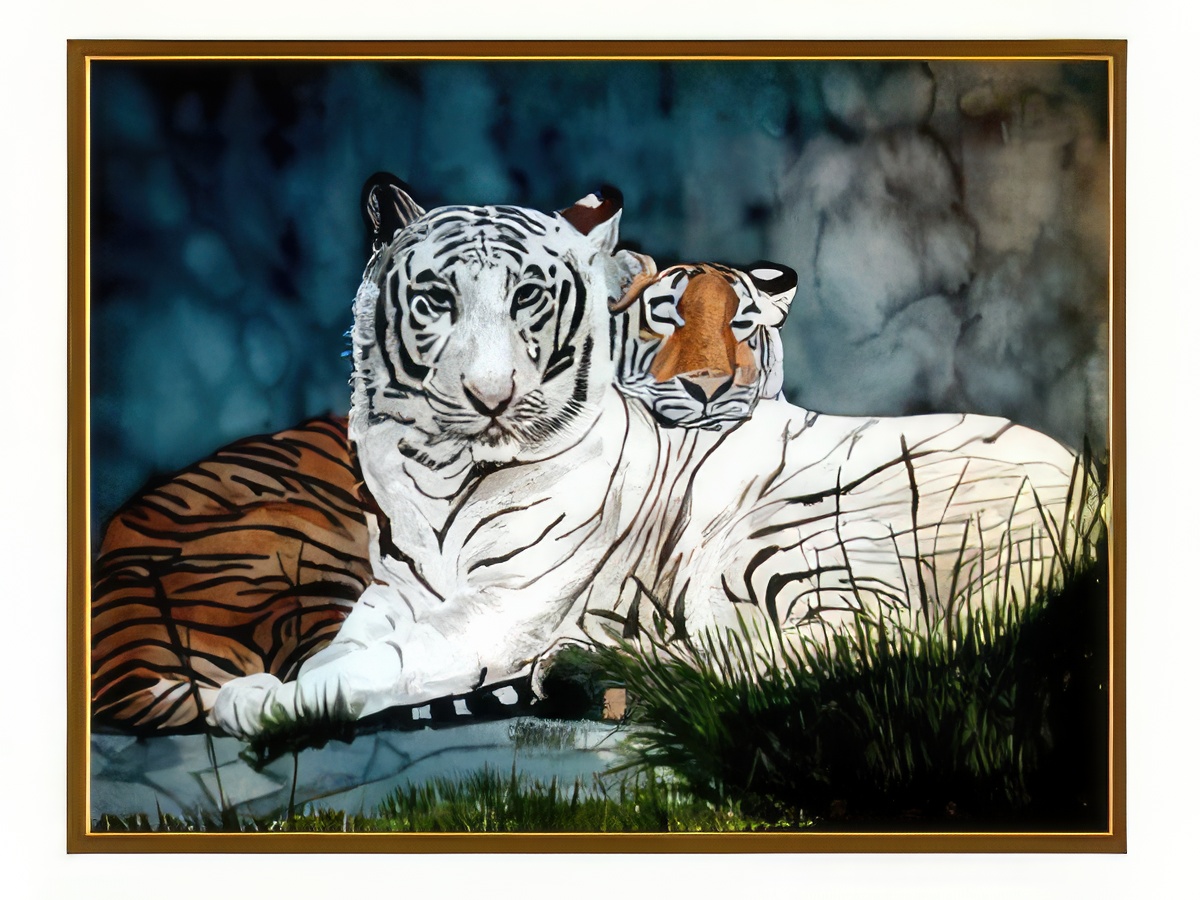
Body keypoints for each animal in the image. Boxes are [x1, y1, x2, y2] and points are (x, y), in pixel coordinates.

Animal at [208, 180, 1088, 741]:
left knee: (829, 649)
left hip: (782, 535)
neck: (440, 472)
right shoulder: (394, 590)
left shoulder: (501, 607)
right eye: (436, 301)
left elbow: (377, 664)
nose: (490, 396)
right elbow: (348, 644)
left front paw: (257, 702)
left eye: (528, 298)